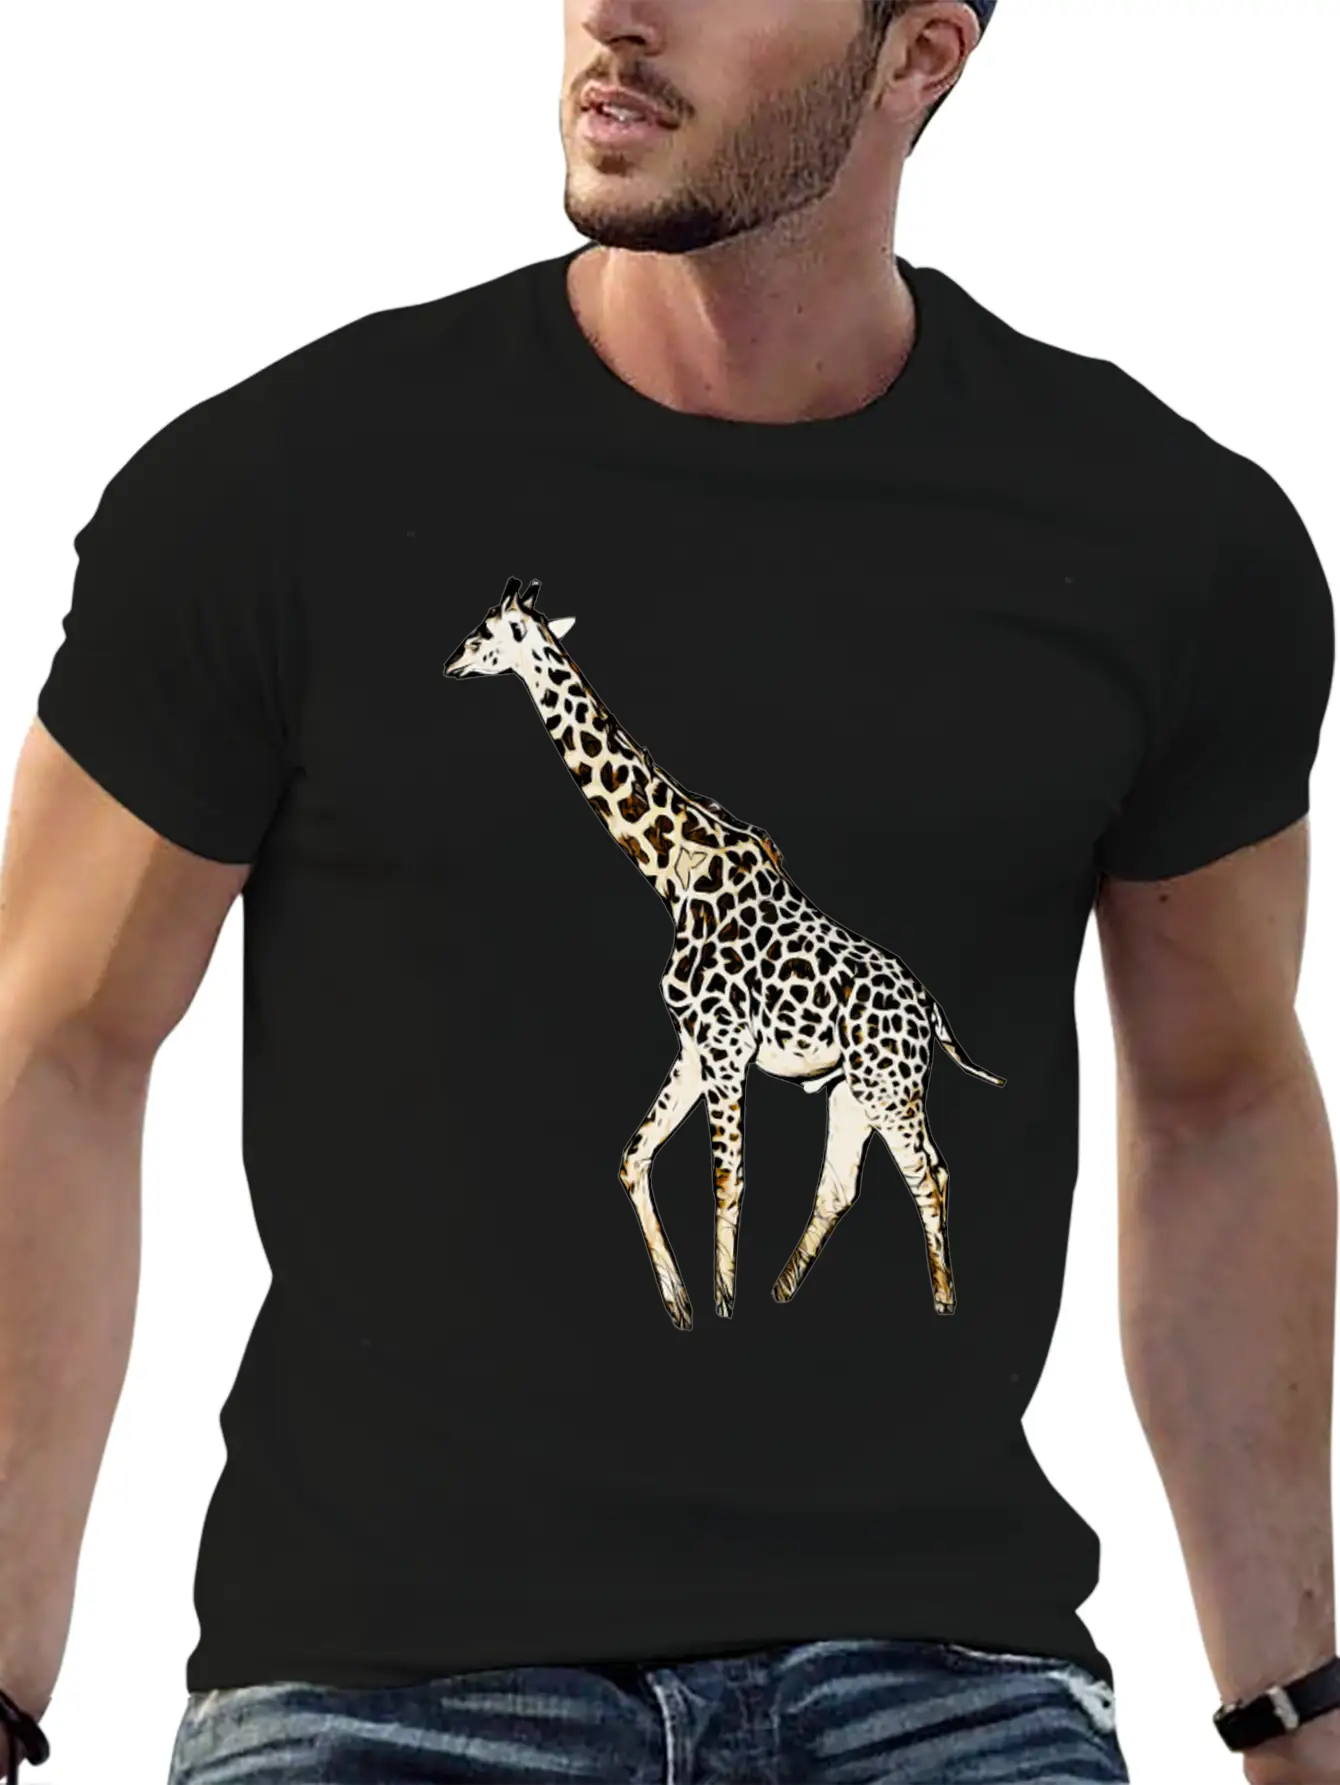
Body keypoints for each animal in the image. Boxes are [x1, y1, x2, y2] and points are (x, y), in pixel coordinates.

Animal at [445, 579, 1003, 1328]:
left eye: (484, 632)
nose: (452, 663)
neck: (671, 874)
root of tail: (931, 1015)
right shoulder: (691, 1047)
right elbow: (633, 1158)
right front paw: (681, 1302)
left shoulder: (725, 1046)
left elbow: (727, 1178)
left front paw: (722, 1307)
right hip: (856, 1091)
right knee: (848, 1183)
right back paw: (783, 1292)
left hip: (890, 1088)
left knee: (928, 1175)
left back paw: (942, 1303)